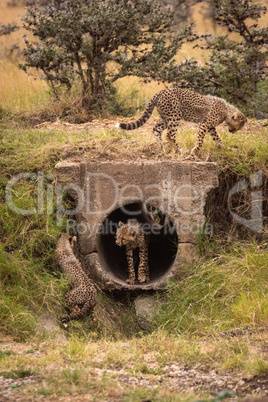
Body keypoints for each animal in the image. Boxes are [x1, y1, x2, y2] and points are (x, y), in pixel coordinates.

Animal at [115, 87, 247, 156]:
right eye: (239, 127)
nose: (233, 131)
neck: (227, 111)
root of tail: (161, 91)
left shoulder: (210, 127)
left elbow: (217, 138)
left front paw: (223, 147)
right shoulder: (204, 124)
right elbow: (200, 140)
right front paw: (195, 151)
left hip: (165, 117)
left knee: (156, 129)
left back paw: (162, 145)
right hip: (175, 116)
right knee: (169, 135)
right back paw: (179, 150)